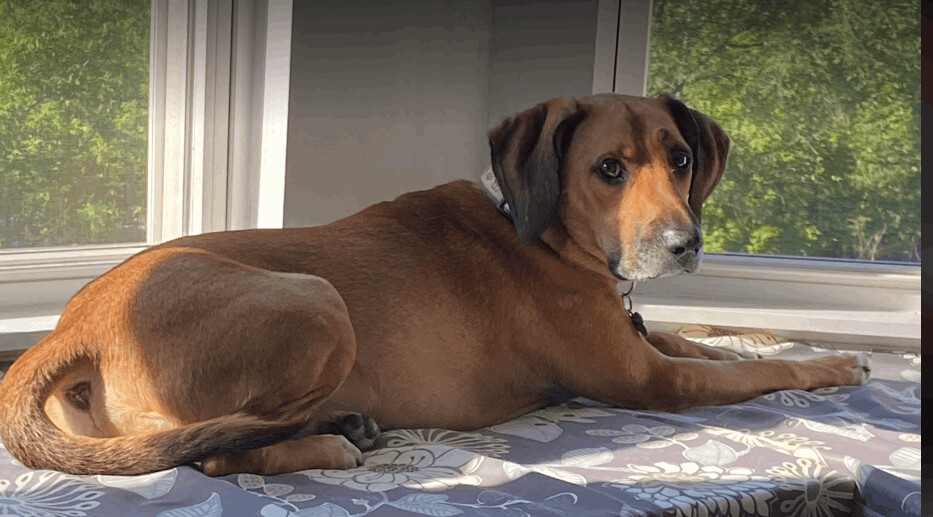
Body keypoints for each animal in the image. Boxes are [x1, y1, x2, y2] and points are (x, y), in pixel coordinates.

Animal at [0, 93, 868, 476]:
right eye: (608, 169)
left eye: (680, 158)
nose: (683, 245)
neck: (537, 222)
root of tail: (72, 328)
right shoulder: (648, 378)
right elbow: (751, 370)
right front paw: (828, 365)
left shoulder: (644, 339)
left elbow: (718, 341)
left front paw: (809, 345)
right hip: (315, 296)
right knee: (216, 454)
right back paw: (330, 440)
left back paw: (344, 422)